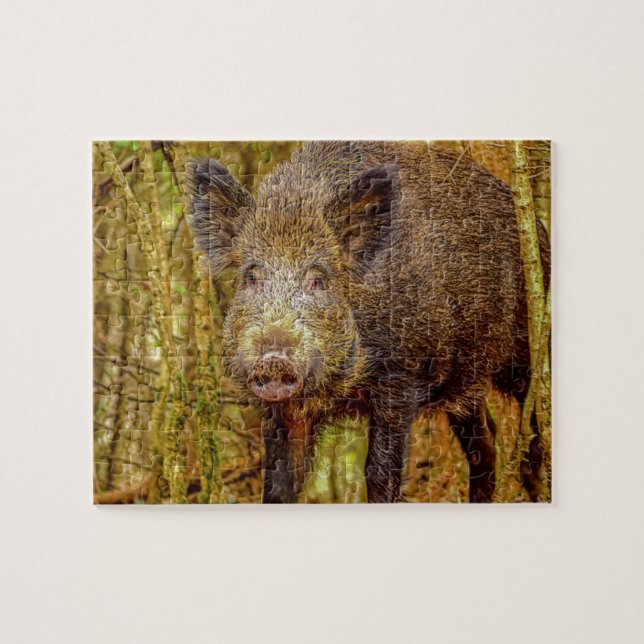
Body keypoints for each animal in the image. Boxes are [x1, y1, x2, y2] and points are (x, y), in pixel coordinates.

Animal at [187, 141, 550, 503]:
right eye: (251, 276)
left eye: (319, 279)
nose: (273, 359)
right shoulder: (282, 409)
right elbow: (278, 482)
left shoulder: (401, 377)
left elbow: (379, 474)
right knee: (486, 443)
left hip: (529, 349)